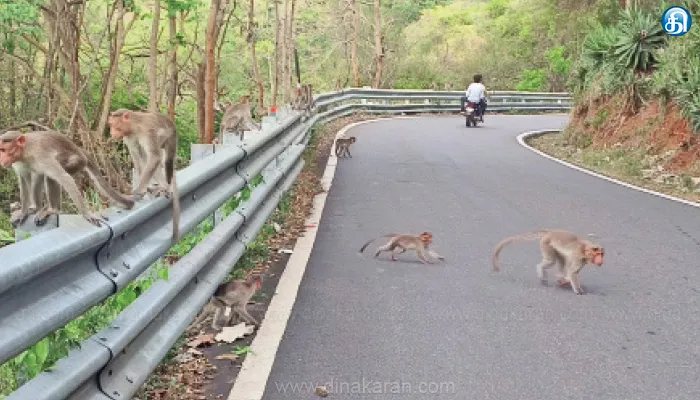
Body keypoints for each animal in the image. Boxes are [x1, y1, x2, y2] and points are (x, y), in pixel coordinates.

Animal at [0, 130, 134, 227]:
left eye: (3, 150)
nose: (2, 159)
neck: (24, 151)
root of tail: (79, 150)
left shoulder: (40, 155)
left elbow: (64, 178)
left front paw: (87, 214)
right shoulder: (18, 162)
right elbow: (23, 179)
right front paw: (23, 212)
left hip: (76, 162)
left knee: (50, 177)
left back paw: (53, 210)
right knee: (38, 176)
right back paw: (36, 208)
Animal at [107, 109, 181, 242]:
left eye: (112, 124)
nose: (111, 132)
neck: (134, 127)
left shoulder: (147, 130)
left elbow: (154, 157)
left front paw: (139, 190)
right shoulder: (129, 137)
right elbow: (137, 158)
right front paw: (143, 190)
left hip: (170, 136)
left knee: (164, 159)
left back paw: (166, 186)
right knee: (147, 157)